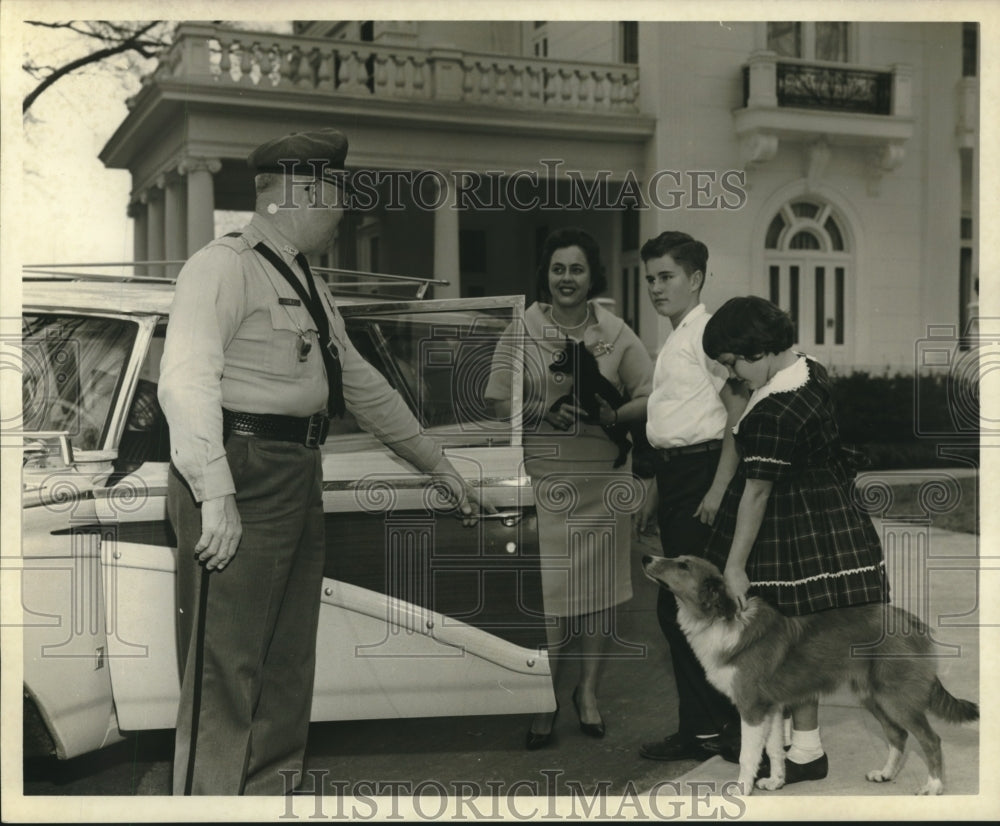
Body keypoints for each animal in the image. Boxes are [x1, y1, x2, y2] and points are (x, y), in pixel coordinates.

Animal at [640, 552, 976, 792]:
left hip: (896, 698)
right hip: (873, 696)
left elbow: (748, 754)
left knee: (931, 740)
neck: (721, 621)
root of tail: (911, 621)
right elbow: (775, 750)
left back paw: (933, 787)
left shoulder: (751, 708)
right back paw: (885, 774)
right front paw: (776, 781)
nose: (645, 558)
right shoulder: (773, 708)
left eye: (683, 565)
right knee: (898, 734)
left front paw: (741, 789)